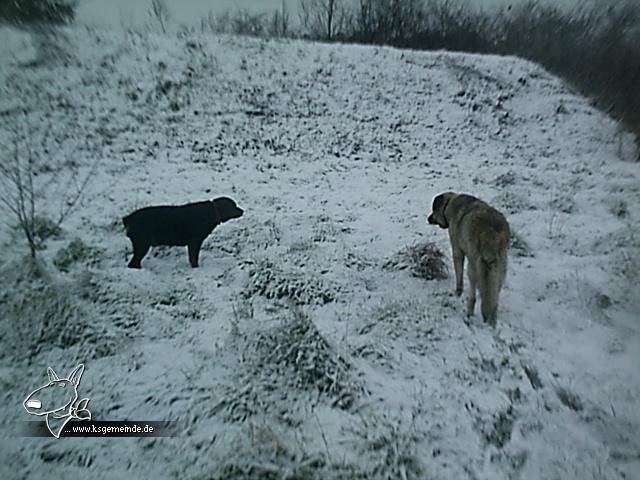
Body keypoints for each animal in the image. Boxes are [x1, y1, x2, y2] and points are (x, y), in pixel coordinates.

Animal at [428, 192, 512, 326]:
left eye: (433, 210)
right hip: (500, 267)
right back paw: (492, 317)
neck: (450, 203)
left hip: (474, 266)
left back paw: (469, 313)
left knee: (473, 294)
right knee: (494, 296)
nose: (428, 219)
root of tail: (491, 233)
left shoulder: (457, 251)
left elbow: (459, 276)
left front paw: (458, 293)